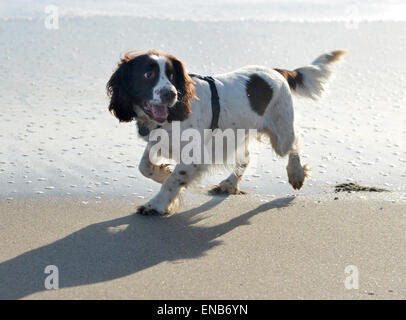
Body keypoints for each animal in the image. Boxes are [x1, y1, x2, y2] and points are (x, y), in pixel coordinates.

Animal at [107, 49, 346, 215]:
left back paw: (295, 174)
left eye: (172, 76)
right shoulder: (158, 141)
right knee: (247, 158)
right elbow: (144, 167)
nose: (171, 94)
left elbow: (172, 181)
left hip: (280, 134)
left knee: (294, 144)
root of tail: (275, 71)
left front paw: (156, 204)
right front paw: (161, 173)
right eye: (148, 74)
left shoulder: (194, 157)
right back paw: (229, 184)